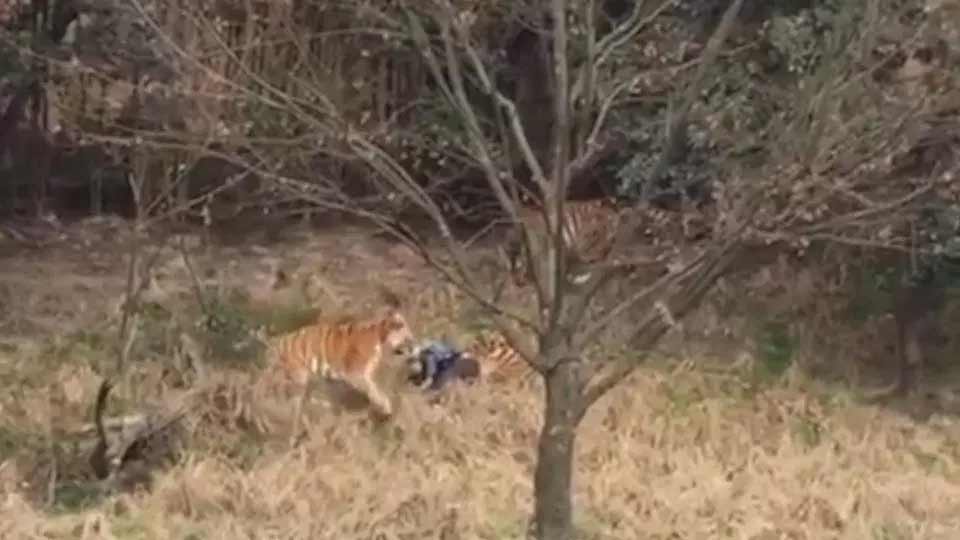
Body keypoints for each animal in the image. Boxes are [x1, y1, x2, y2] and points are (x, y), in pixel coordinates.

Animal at [264, 294, 418, 443]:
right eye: (408, 338)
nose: (413, 344)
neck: (381, 337)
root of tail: (282, 341)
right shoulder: (356, 374)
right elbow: (374, 390)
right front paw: (385, 406)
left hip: (308, 381)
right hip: (300, 378)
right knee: (294, 405)